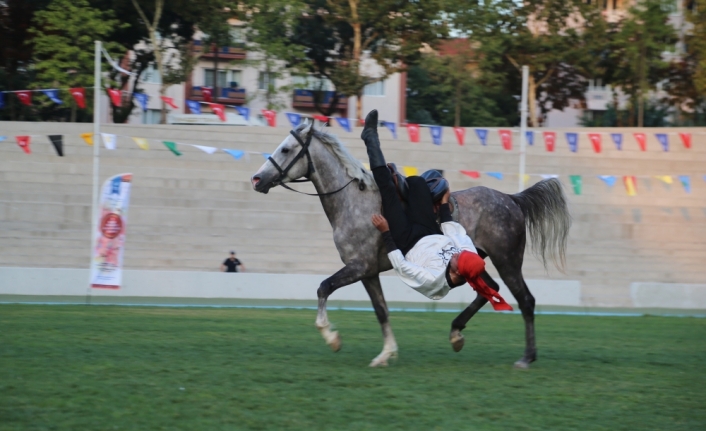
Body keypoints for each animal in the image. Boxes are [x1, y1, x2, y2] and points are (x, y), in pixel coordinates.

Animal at [250, 121, 568, 368]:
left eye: (286, 149)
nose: (256, 179)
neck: (352, 201)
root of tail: (512, 199)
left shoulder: (358, 267)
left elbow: (323, 287)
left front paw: (332, 337)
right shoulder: (368, 272)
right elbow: (381, 311)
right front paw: (386, 354)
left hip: (508, 260)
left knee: (525, 300)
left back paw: (526, 357)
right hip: (479, 258)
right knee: (489, 290)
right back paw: (456, 333)